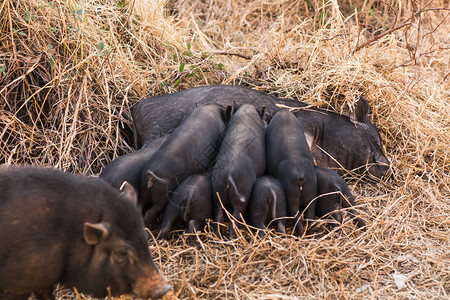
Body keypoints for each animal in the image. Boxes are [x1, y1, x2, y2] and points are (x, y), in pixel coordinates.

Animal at [212, 104, 266, 240]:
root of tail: (229, 175)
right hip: (242, 193)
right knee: (235, 218)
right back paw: (233, 238)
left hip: (217, 190)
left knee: (218, 214)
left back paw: (217, 237)